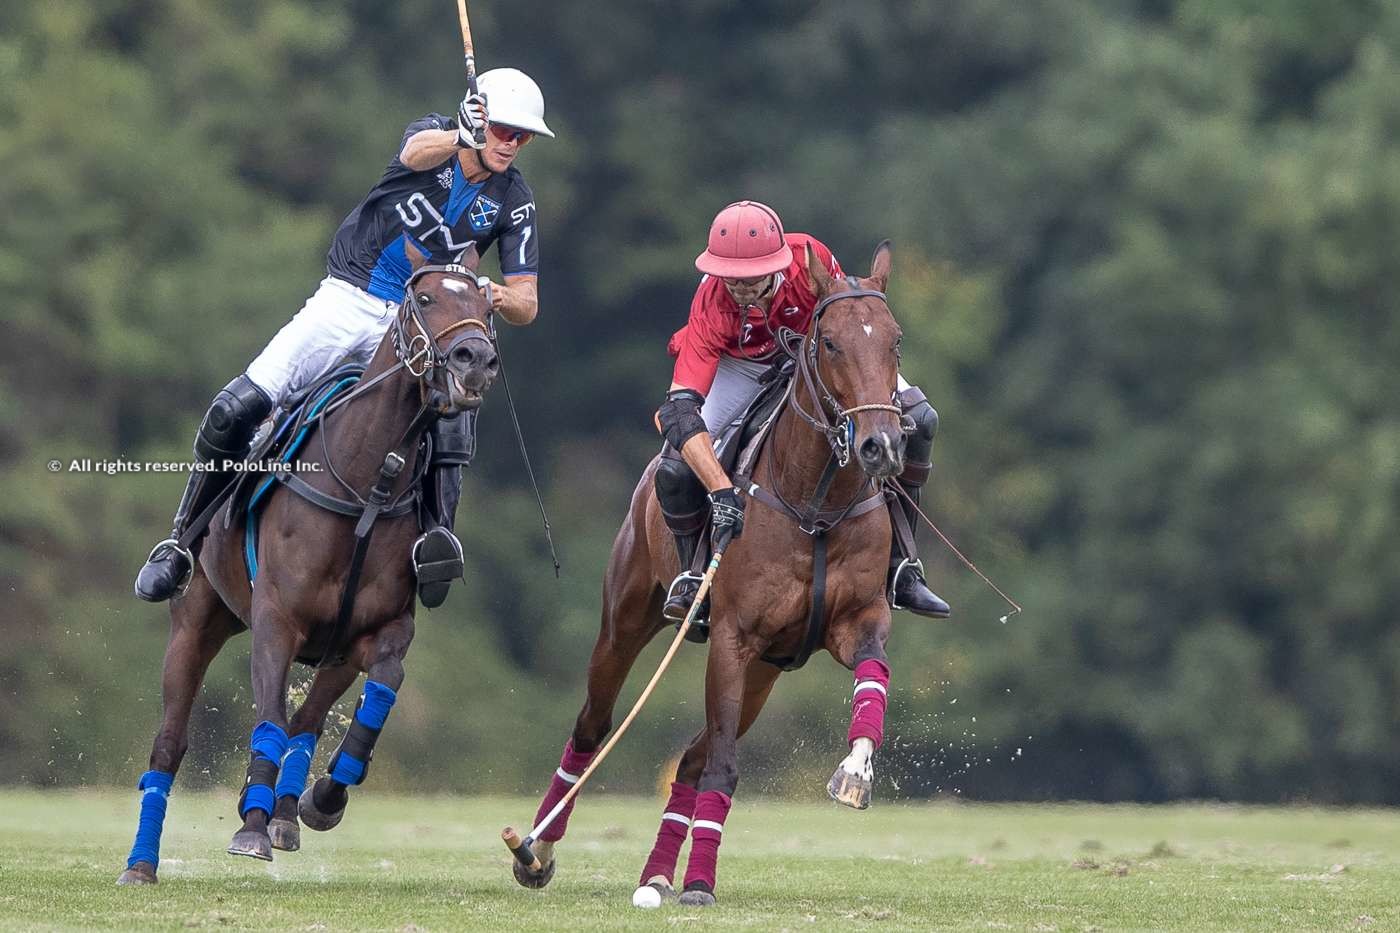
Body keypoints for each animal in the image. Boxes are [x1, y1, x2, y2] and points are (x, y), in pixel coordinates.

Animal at [116, 245, 498, 879]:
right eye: (423, 298)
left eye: (487, 306)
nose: (475, 361)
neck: (368, 484)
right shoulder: (276, 621)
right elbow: (268, 717)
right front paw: (250, 828)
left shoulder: (384, 630)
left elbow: (376, 697)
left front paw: (321, 799)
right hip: (196, 620)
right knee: (171, 741)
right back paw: (142, 863)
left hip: (335, 654)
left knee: (308, 723)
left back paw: (286, 813)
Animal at [515, 238, 907, 902]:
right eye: (830, 343)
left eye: (895, 341)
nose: (880, 445)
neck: (815, 506)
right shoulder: (732, 636)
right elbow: (724, 766)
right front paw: (700, 882)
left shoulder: (857, 621)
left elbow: (872, 676)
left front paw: (854, 772)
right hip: (629, 620)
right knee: (596, 727)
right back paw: (537, 850)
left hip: (766, 672)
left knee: (692, 757)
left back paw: (653, 876)